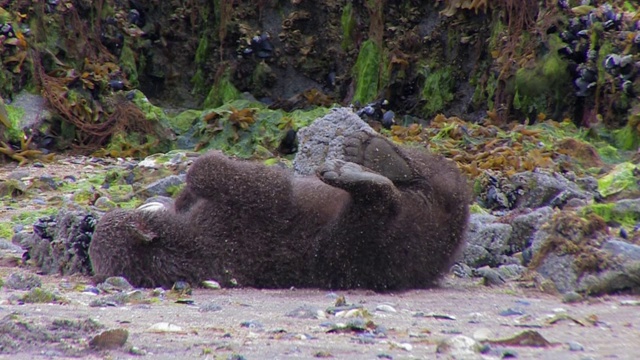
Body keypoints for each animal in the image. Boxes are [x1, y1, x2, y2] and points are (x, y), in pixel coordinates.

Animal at [89, 116, 470, 292]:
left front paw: (171, 198)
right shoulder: (231, 224)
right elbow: (259, 185)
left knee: (429, 173)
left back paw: (370, 151)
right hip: (369, 245)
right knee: (382, 210)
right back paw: (356, 169)